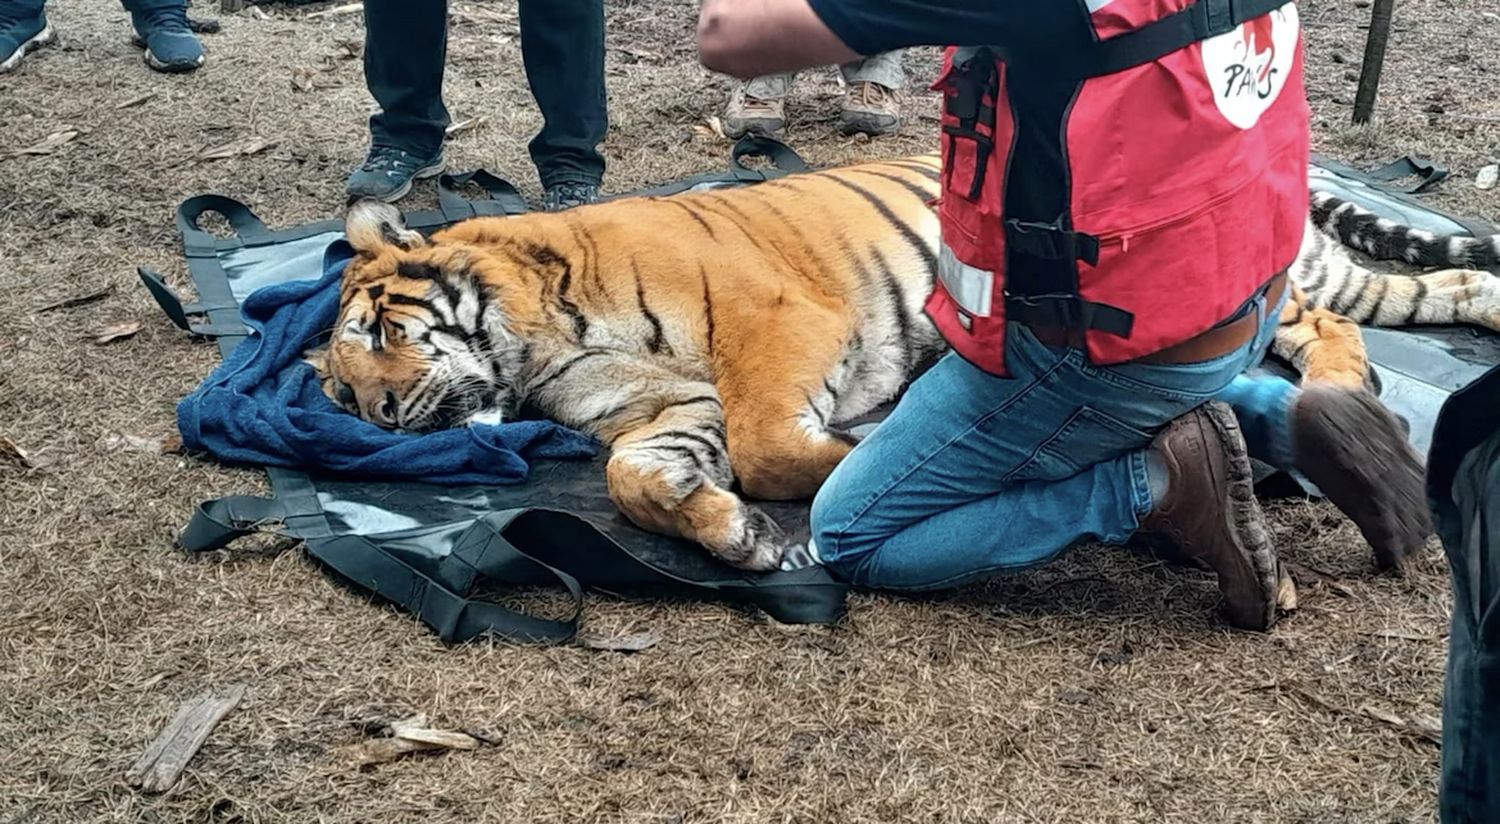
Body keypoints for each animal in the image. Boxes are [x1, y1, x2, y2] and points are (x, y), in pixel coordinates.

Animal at [307, 156, 1500, 573]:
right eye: (334, 391)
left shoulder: (777, 322)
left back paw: (1344, 401)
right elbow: (639, 476)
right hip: (1357, 280)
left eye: (377, 336)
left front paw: (861, 448)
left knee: (1326, 328)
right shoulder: (658, 411)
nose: (378, 417)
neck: (537, 347)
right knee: (1445, 292)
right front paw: (737, 538)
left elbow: (776, 444)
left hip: (1265, 284)